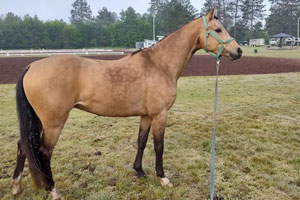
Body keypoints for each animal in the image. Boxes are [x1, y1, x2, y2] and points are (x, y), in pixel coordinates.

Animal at [12, 7, 241, 198]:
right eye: (218, 29)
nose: (238, 51)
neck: (159, 64)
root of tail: (31, 67)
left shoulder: (146, 115)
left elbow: (141, 141)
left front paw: (139, 171)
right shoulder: (160, 114)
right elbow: (159, 146)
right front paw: (162, 178)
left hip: (39, 120)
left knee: (23, 145)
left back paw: (17, 187)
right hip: (53, 123)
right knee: (44, 152)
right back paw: (52, 189)